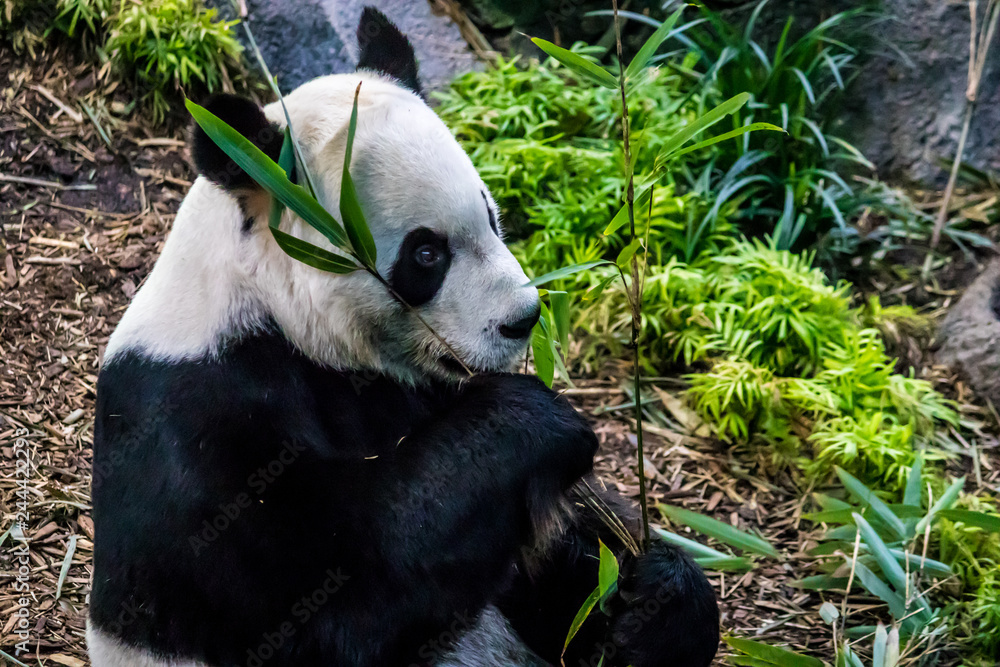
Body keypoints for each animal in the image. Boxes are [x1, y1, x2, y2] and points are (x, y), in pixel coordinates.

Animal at [88, 7, 720, 667]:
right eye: (426, 255)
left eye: (491, 216)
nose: (522, 319)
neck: (270, 313)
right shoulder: (196, 415)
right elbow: (328, 602)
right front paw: (538, 423)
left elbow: (556, 572)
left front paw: (655, 603)